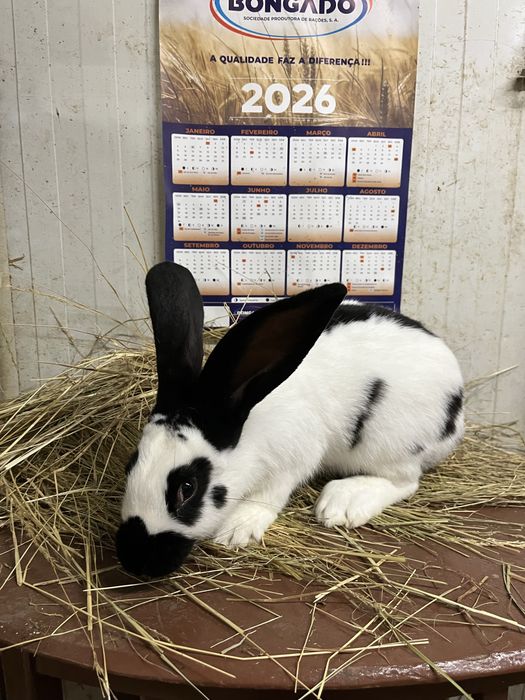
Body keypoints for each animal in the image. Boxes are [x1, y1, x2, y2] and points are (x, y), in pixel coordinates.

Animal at [116, 262, 464, 577]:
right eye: (130, 464)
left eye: (187, 488)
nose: (135, 560)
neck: (246, 427)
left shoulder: (294, 455)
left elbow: (271, 494)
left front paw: (237, 527)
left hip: (387, 442)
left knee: (405, 481)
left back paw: (341, 503)